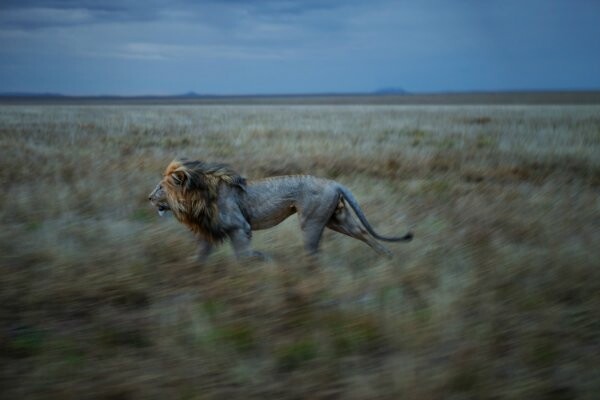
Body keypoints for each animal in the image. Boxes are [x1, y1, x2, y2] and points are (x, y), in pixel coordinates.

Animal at [149, 159, 412, 262]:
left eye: (160, 187)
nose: (149, 198)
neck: (195, 197)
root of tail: (334, 182)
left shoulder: (239, 227)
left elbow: (244, 256)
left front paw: (263, 260)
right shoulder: (209, 232)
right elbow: (200, 257)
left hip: (311, 221)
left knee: (314, 252)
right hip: (336, 219)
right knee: (364, 233)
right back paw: (388, 258)